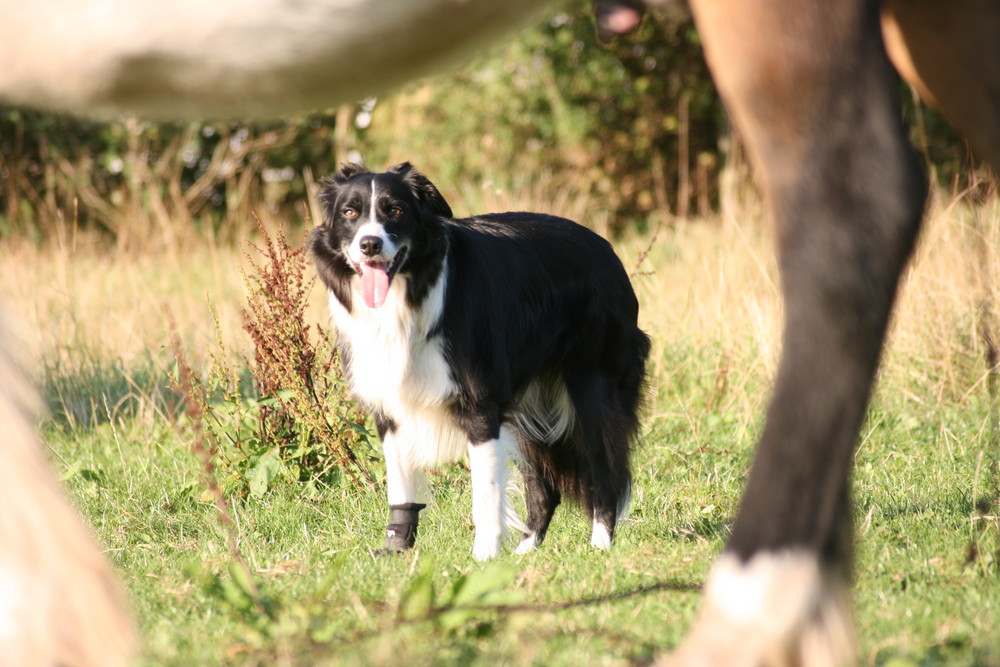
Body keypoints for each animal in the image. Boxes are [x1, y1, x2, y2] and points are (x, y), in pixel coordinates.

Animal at [314, 164, 656, 560]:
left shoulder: (480, 403)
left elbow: (486, 490)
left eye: (396, 210)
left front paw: (485, 557)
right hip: (531, 403)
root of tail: (605, 247)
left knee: (603, 469)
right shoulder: (389, 402)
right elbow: (400, 485)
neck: (410, 293)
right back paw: (527, 548)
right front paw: (397, 548)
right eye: (349, 213)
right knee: (545, 486)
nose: (369, 244)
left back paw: (600, 543)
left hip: (593, 381)